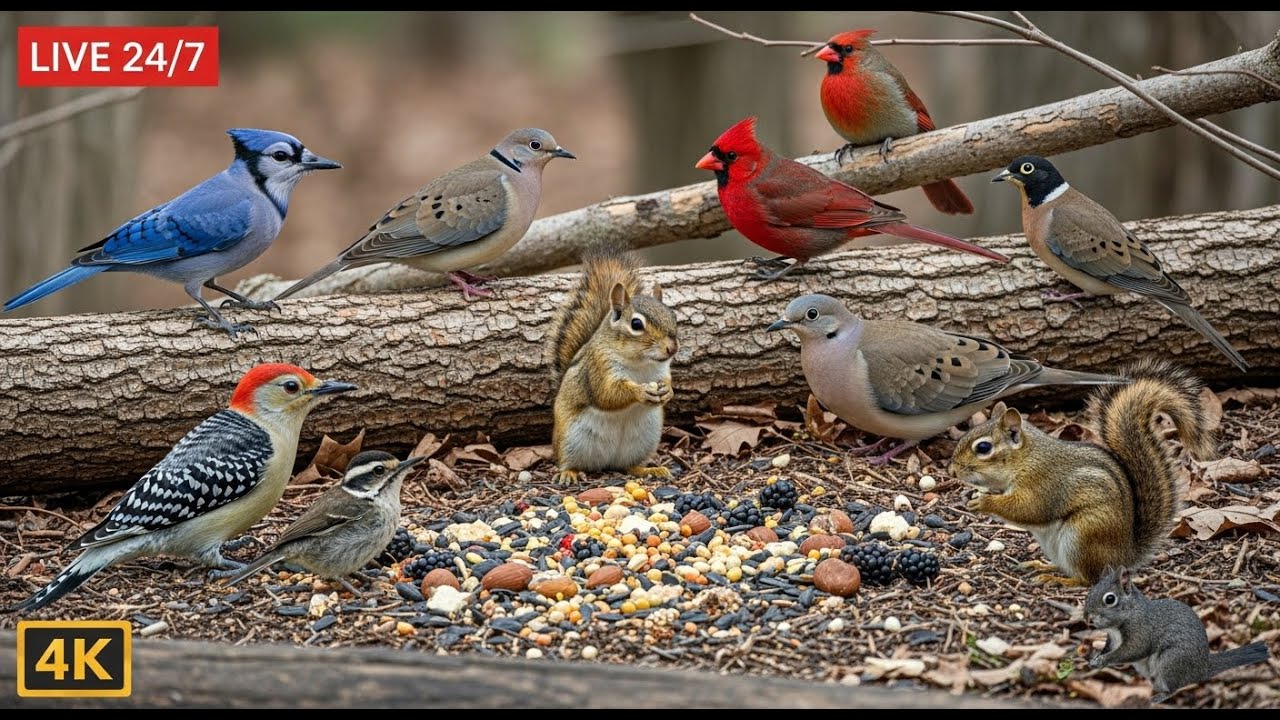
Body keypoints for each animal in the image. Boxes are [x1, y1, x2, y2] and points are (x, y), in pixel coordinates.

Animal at [547, 245, 679, 486]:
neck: (640, 364)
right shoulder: (599, 368)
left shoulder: (662, 371)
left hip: (643, 441)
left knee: (628, 467)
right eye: (636, 324)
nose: (671, 348)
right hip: (570, 440)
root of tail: (606, 462)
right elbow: (607, 394)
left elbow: (666, 382)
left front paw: (667, 392)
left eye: (673, 316)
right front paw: (640, 392)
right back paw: (569, 473)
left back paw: (650, 470)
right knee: (567, 461)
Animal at [949, 359, 1216, 586]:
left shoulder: (1043, 483)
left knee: (1088, 578)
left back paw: (1059, 580)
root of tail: (1124, 556)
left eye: (983, 448)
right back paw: (1042, 566)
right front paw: (970, 495)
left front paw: (985, 502)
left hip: (1082, 536)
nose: (952, 470)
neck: (1025, 458)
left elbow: (1029, 508)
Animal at [1085, 566, 1270, 703]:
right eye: (1090, 591)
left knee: (1174, 689)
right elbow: (1107, 648)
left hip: (1171, 660)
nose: (1087, 618)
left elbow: (1132, 651)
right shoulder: (1111, 640)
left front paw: (1103, 660)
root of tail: (1203, 668)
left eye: (1110, 599)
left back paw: (1158, 698)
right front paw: (1095, 658)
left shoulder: (1142, 631)